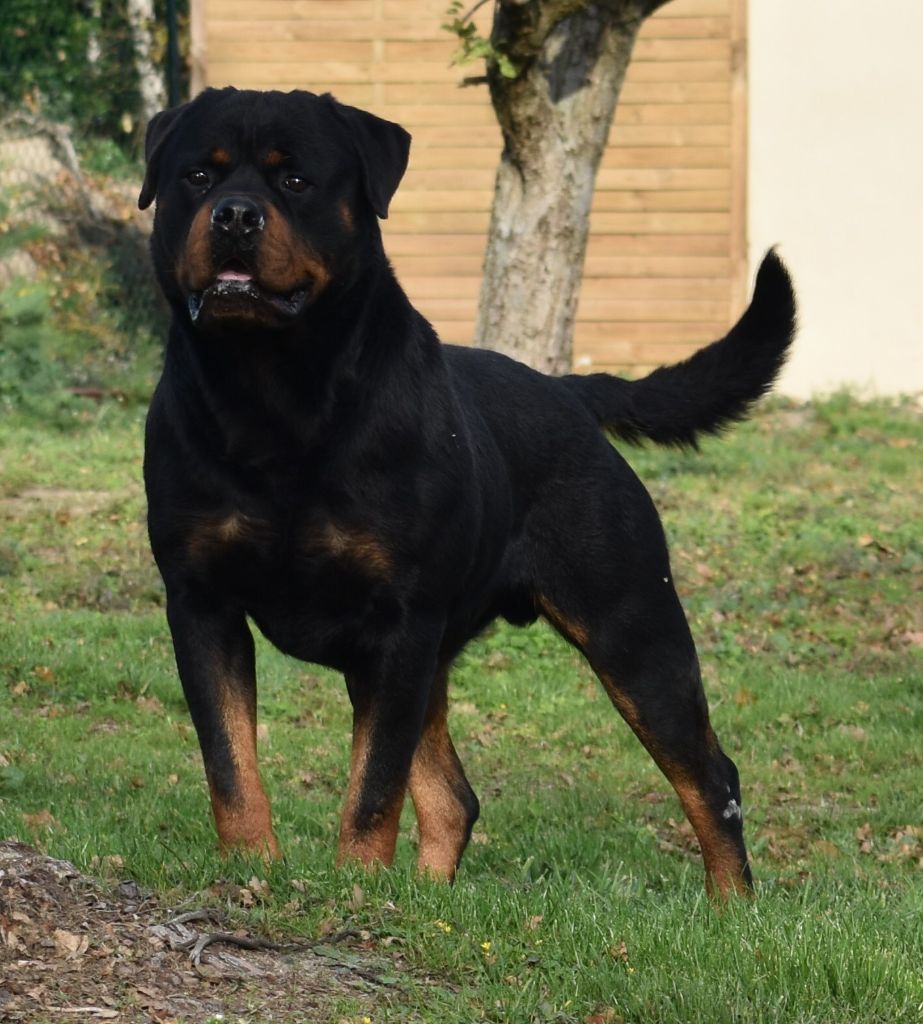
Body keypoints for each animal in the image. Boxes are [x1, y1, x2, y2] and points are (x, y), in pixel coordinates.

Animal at [139, 86, 796, 897]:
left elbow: (373, 787)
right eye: (198, 176)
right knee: (454, 795)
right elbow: (231, 765)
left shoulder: (400, 621)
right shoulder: (203, 603)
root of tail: (568, 391)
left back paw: (730, 906)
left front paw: (355, 889)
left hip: (631, 622)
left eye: (294, 181)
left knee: (709, 774)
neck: (272, 396)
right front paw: (252, 874)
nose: (233, 215)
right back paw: (424, 901)